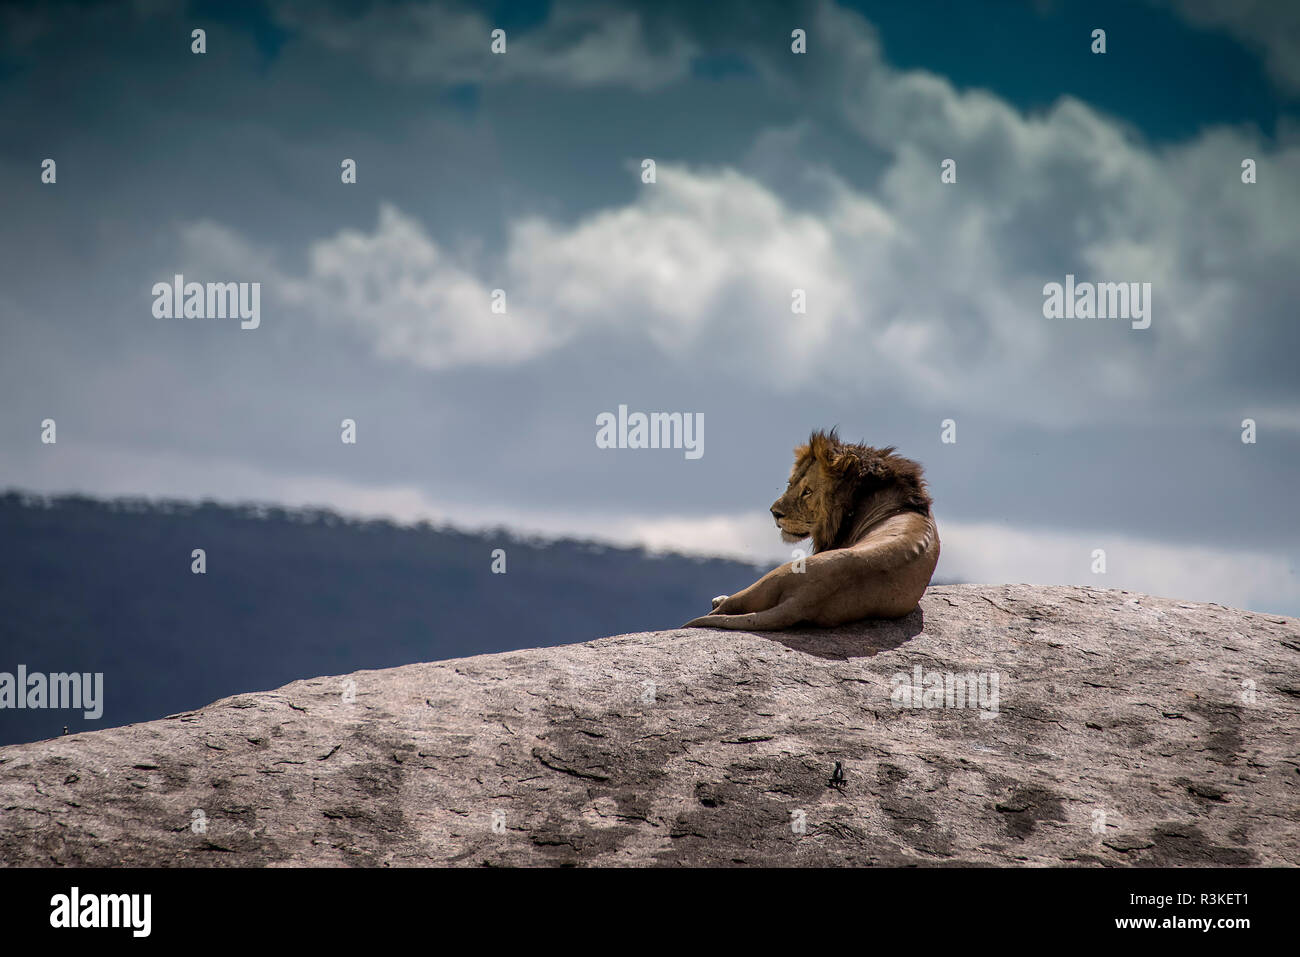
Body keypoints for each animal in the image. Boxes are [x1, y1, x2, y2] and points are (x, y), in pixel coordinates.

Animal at [682, 429, 939, 630]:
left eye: (807, 491)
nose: (774, 512)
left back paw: (718, 601)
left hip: (775, 575)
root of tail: (807, 596)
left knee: (726, 607)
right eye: (791, 483)